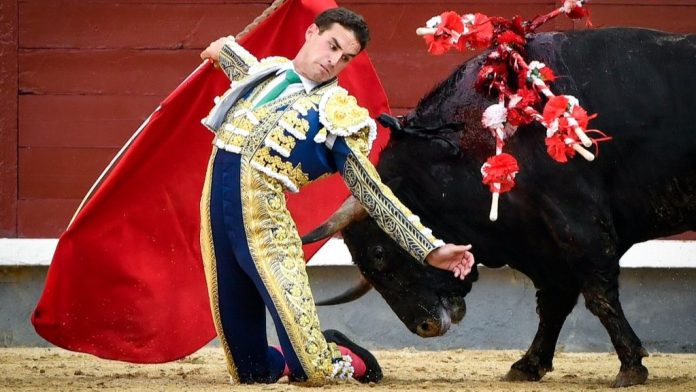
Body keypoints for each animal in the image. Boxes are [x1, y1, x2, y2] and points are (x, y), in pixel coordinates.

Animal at [308, 27, 696, 386]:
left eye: (377, 253)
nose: (425, 326)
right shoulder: (543, 242)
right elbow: (554, 300)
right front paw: (528, 365)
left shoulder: (577, 219)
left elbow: (598, 292)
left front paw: (631, 366)